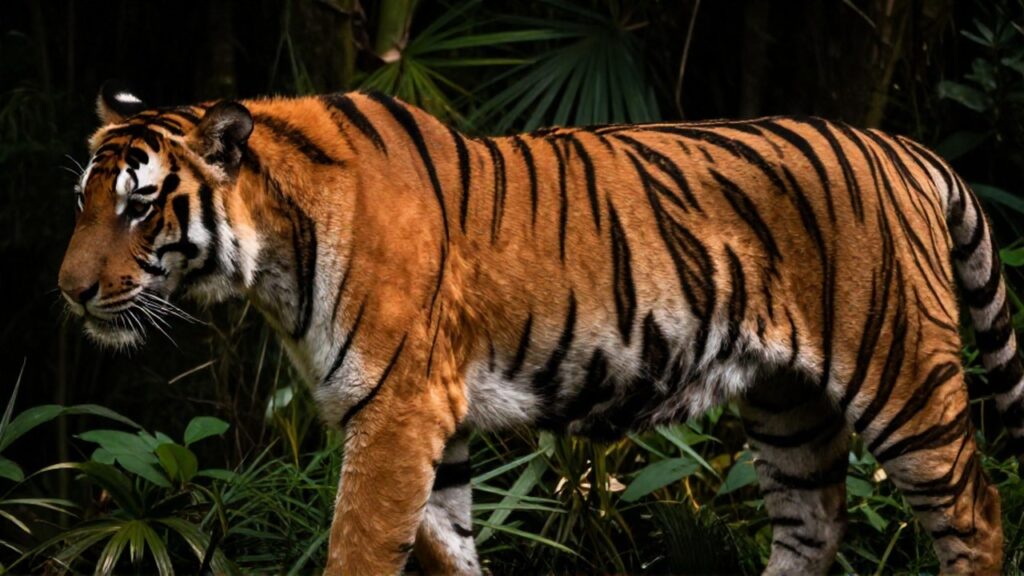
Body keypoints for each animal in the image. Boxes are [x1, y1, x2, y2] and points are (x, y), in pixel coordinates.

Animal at [58, 80, 1023, 575]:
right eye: (82, 203)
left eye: (139, 205)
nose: (67, 291)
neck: (271, 258)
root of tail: (905, 149)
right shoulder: (426, 429)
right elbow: (449, 550)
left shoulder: (395, 415)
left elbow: (357, 552)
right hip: (790, 405)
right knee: (812, 524)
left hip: (903, 379)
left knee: (977, 514)